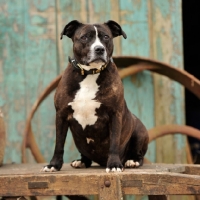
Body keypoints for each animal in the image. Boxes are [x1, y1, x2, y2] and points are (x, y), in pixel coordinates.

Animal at [42, 20, 148, 173]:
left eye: (106, 37)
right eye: (85, 37)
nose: (99, 49)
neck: (89, 73)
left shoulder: (115, 114)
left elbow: (114, 142)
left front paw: (114, 164)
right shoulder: (61, 115)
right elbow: (59, 143)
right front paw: (54, 165)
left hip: (140, 130)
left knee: (139, 154)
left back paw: (132, 161)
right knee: (85, 155)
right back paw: (81, 161)